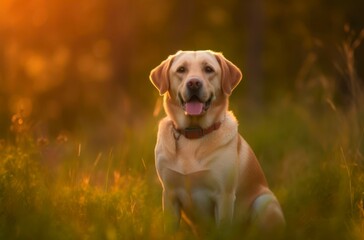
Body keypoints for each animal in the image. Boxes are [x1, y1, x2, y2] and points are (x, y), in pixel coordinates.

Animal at [149, 50, 286, 236]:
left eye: (208, 69)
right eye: (181, 69)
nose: (194, 83)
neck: (193, 134)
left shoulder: (224, 195)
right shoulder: (169, 195)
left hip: (265, 201)